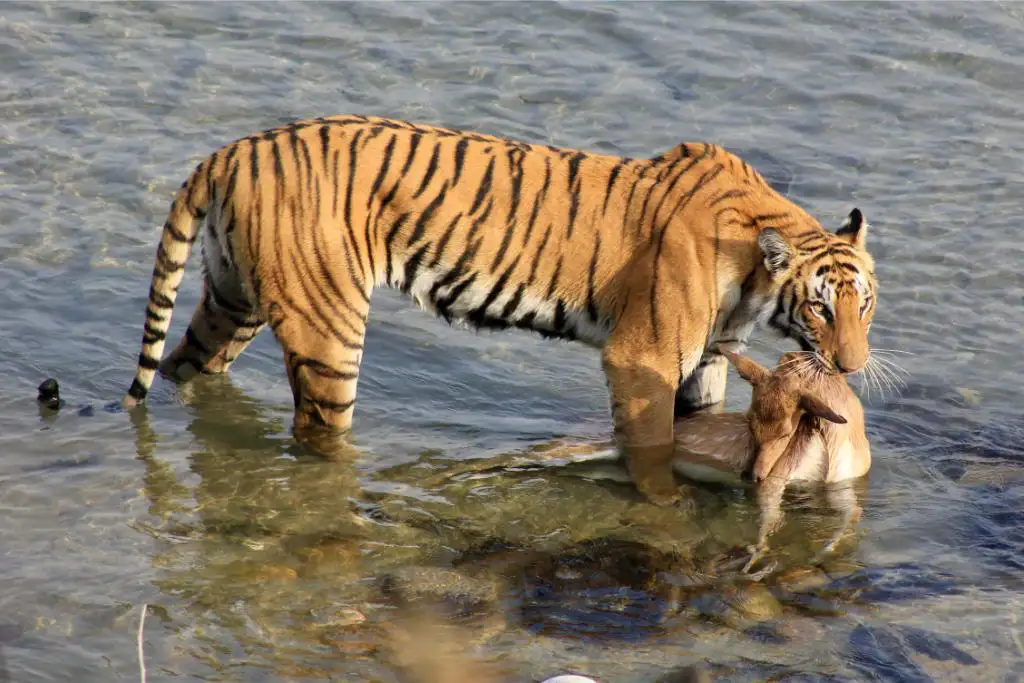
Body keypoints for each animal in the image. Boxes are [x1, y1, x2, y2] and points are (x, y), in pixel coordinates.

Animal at [122, 113, 877, 506]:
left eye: (864, 307)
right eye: (819, 310)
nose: (851, 366)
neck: (752, 277)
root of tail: (231, 152)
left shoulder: (706, 360)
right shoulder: (644, 357)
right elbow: (655, 443)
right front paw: (668, 503)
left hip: (233, 298)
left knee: (186, 370)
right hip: (327, 328)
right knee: (318, 433)